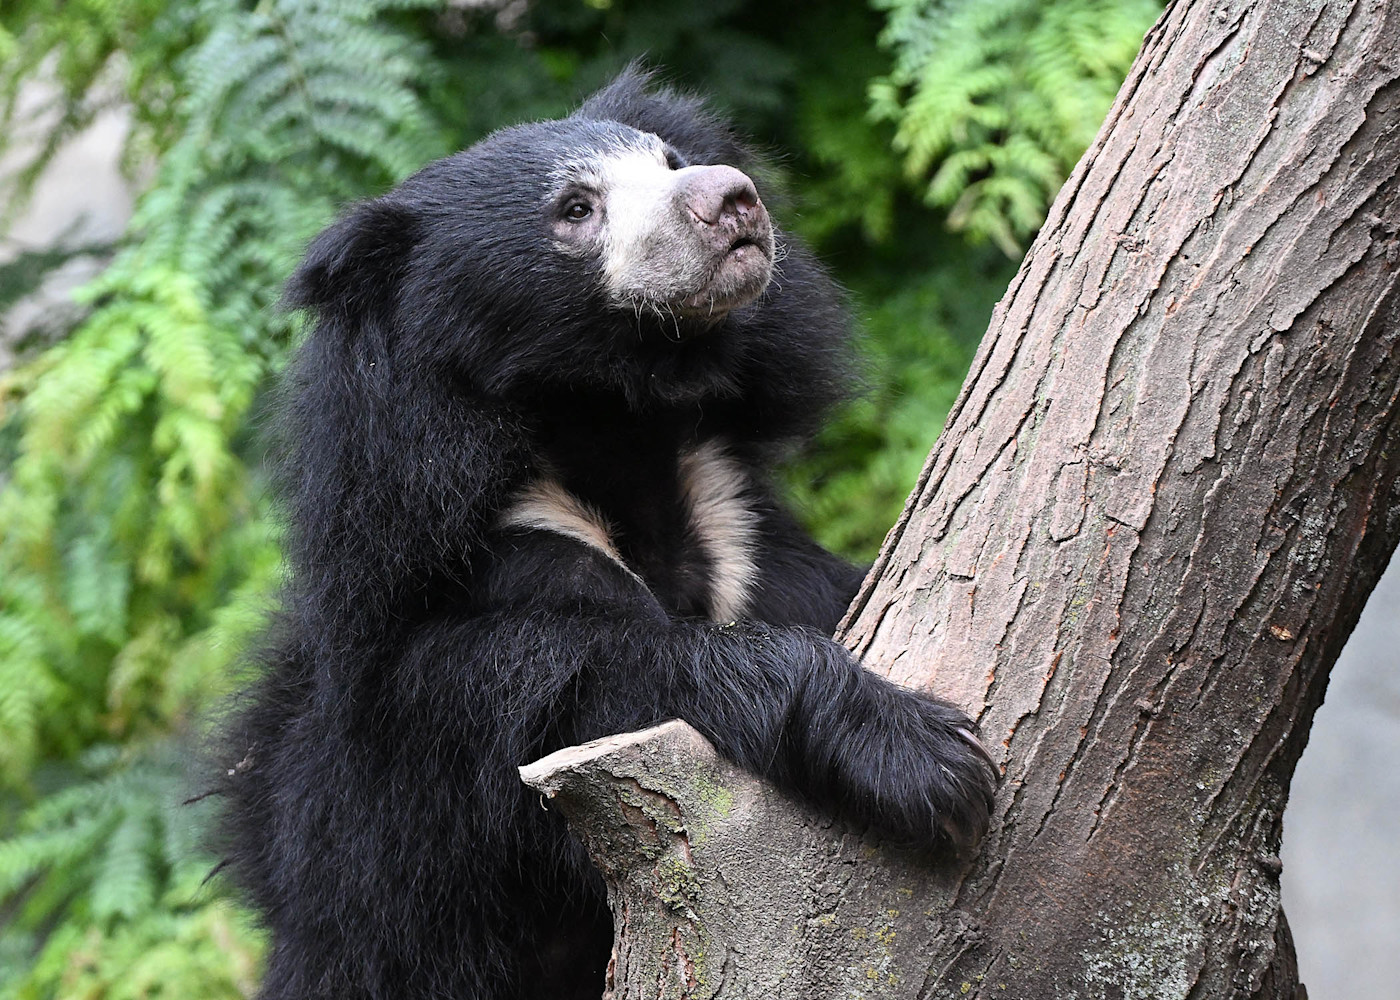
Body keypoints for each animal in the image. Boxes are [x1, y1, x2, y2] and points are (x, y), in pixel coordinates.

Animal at [216, 67, 997, 1000]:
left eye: (671, 160)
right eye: (576, 209)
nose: (730, 198)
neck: (617, 425)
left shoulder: (737, 528)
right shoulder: (477, 588)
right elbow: (595, 678)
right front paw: (927, 758)